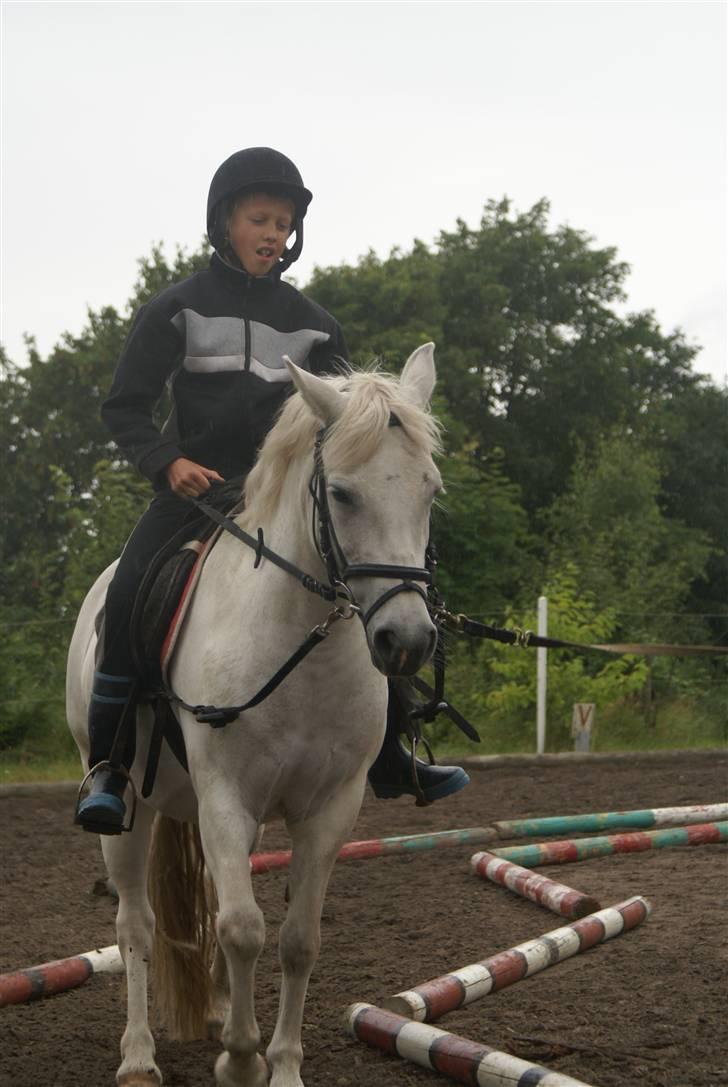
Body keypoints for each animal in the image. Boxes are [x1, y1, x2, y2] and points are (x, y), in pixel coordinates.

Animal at [67, 343, 445, 1082]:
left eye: (429, 490)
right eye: (342, 493)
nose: (407, 641)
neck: (298, 648)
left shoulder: (329, 806)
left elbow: (298, 938)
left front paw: (283, 1063)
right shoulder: (225, 795)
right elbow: (244, 929)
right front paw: (241, 1062)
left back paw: (214, 1012)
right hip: (130, 811)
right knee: (136, 925)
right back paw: (138, 1055)